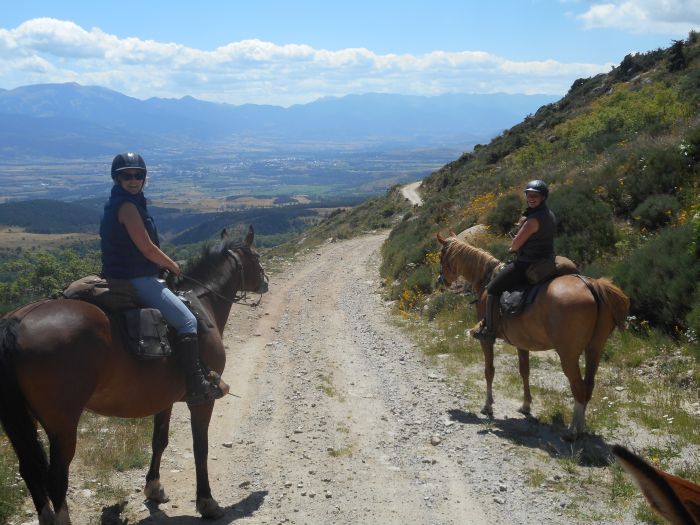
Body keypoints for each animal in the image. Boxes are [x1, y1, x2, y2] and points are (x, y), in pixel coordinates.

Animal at [0, 226, 268, 524]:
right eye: (256, 257)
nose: (265, 282)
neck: (203, 305)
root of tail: (17, 321)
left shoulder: (164, 399)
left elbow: (159, 440)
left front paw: (154, 488)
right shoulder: (202, 400)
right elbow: (201, 447)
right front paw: (207, 502)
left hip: (22, 420)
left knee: (29, 470)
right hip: (62, 423)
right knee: (55, 478)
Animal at [438, 232, 628, 434]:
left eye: (441, 256)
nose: (441, 281)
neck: (485, 279)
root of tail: (591, 285)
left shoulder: (486, 341)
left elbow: (489, 371)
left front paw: (488, 406)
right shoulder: (522, 343)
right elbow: (525, 371)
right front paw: (526, 405)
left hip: (568, 355)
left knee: (578, 387)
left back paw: (573, 431)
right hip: (595, 349)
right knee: (589, 385)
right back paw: (580, 426)